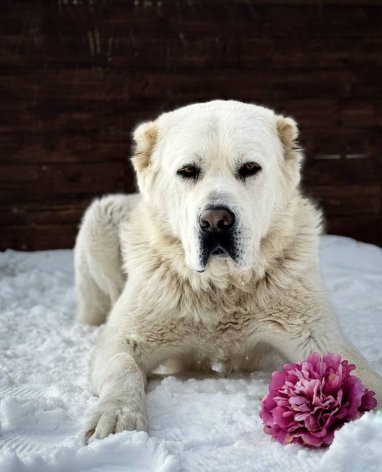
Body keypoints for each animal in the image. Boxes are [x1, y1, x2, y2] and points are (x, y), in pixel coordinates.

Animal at [74, 101, 382, 440]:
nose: (215, 221)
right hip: (100, 219)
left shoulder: (316, 334)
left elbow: (358, 371)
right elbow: (123, 367)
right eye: (187, 171)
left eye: (249, 168)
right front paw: (117, 415)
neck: (222, 287)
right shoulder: (122, 338)